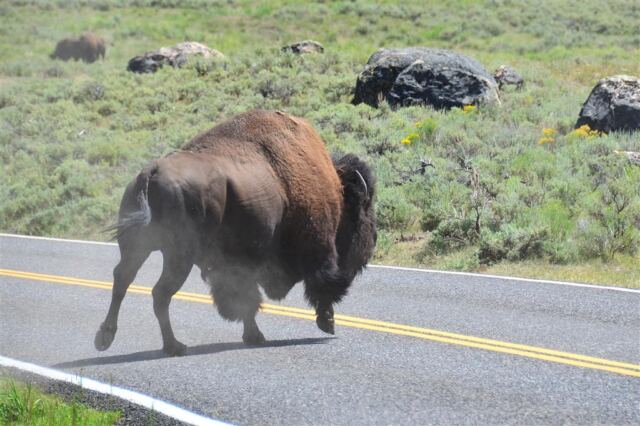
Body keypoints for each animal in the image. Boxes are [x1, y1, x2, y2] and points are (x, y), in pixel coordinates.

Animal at [94, 110, 376, 356]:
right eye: (363, 209)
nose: (371, 244)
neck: (335, 189)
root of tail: (150, 173)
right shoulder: (318, 248)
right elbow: (322, 283)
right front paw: (327, 323)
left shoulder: (235, 265)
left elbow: (244, 299)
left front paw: (254, 336)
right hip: (178, 256)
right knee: (160, 293)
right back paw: (174, 346)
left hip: (137, 247)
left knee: (122, 279)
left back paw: (105, 338)